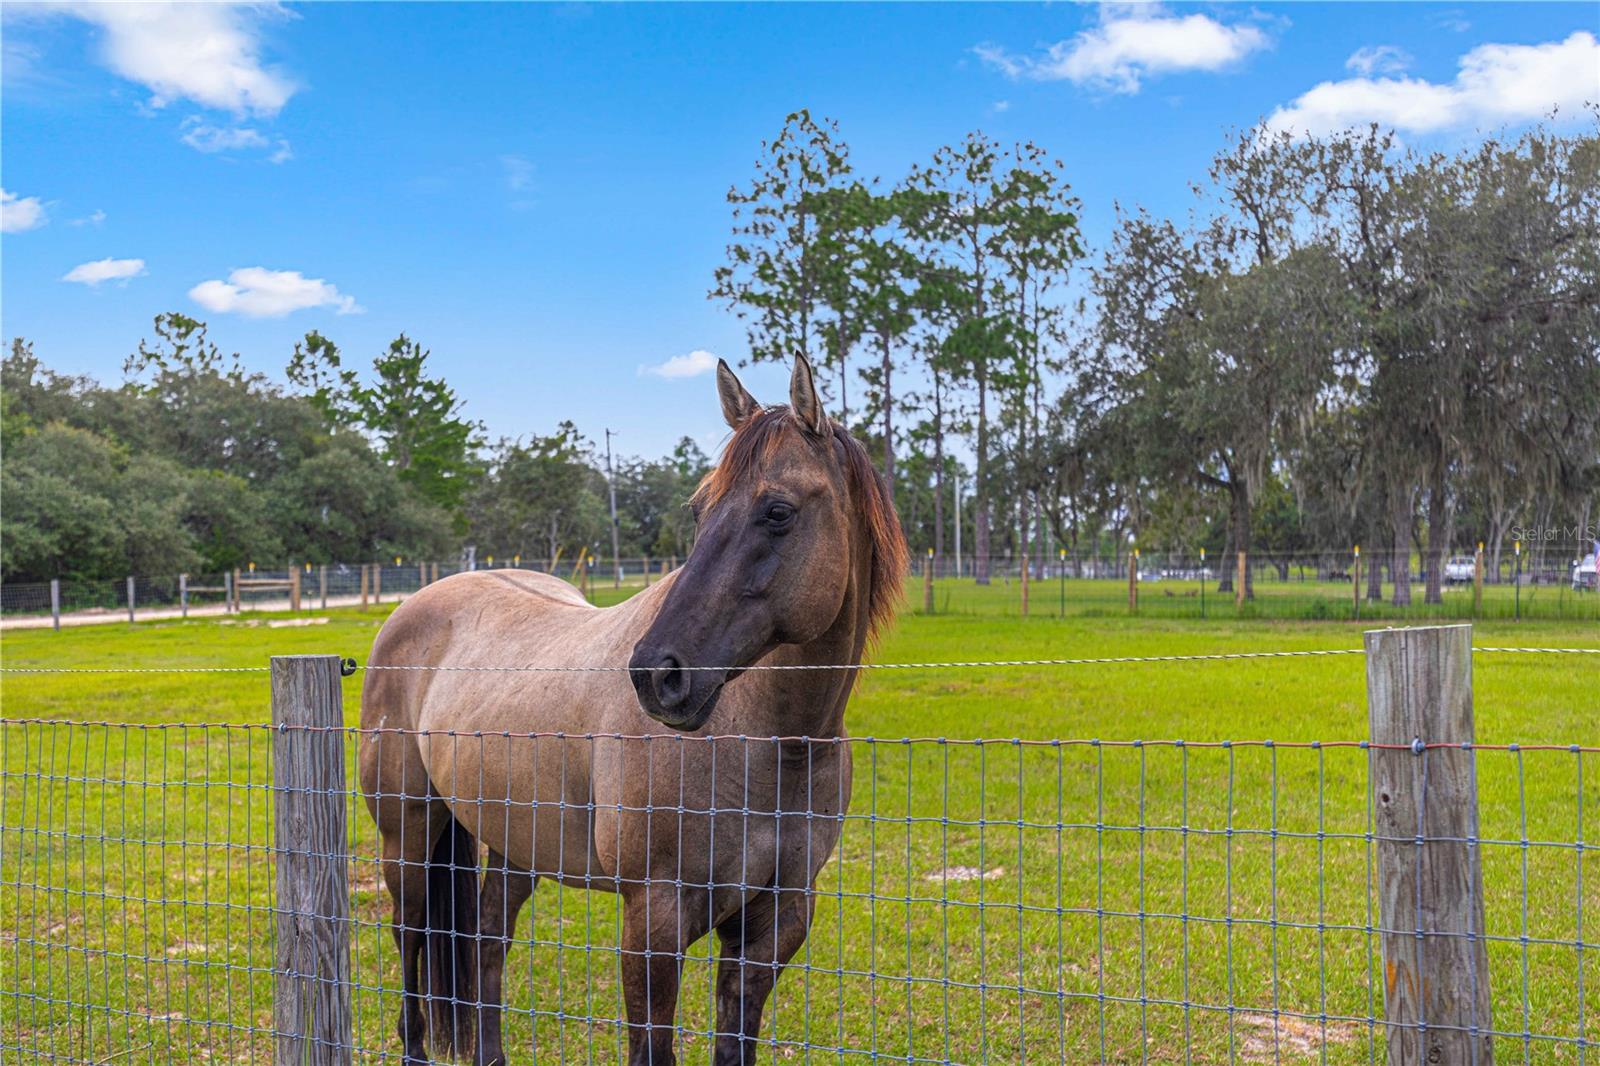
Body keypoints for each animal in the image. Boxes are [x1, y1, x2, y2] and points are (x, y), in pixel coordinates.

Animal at [366, 356, 915, 1062]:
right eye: (700, 510)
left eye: (778, 511)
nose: (657, 675)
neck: (769, 743)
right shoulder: (653, 922)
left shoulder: (774, 923)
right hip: (406, 835)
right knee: (410, 939)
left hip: (515, 844)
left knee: (487, 939)